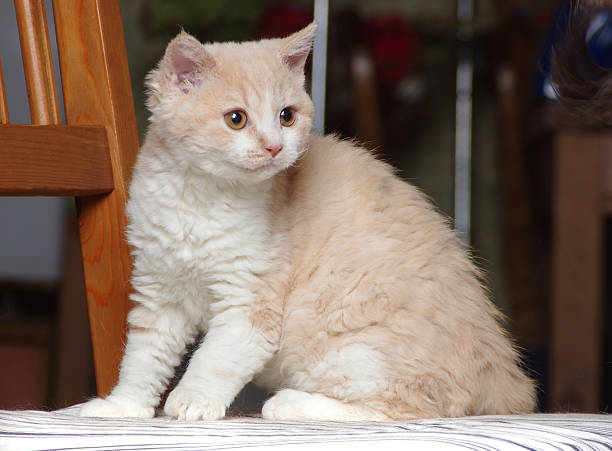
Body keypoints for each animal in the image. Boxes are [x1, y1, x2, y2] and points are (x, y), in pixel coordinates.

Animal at [80, 23, 536, 422]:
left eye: (287, 115)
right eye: (236, 119)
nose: (274, 147)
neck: (200, 199)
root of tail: (504, 376)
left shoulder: (251, 304)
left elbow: (215, 358)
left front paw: (192, 400)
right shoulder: (160, 290)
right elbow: (143, 357)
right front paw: (122, 407)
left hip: (358, 346)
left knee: (408, 407)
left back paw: (290, 403)